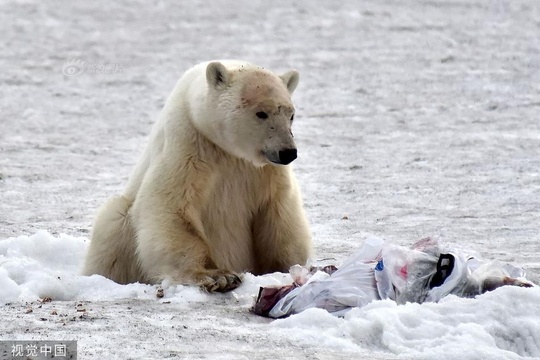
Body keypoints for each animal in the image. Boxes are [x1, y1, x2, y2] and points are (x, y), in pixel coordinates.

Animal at [83, 60, 312, 292]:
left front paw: (288, 269)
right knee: (113, 223)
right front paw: (217, 276)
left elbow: (280, 215)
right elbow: (172, 207)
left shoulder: (266, 172)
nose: (288, 152)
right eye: (261, 113)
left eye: (291, 115)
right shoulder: (188, 145)